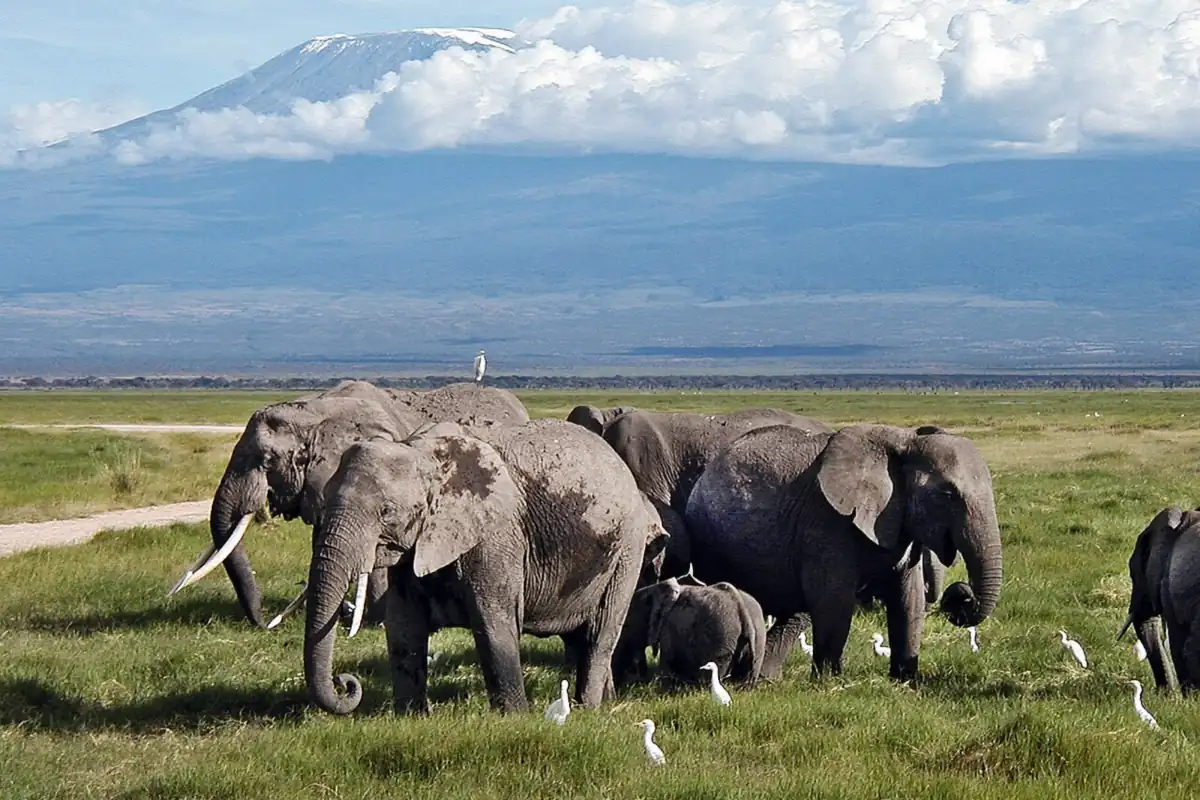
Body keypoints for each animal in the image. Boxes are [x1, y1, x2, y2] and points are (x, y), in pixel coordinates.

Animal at [303, 418, 665, 715]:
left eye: (386, 511)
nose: (345, 682)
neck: (423, 453)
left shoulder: (497, 537)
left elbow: (493, 624)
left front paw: (515, 719)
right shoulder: (415, 548)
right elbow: (404, 628)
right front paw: (411, 718)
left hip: (627, 550)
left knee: (599, 634)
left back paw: (587, 709)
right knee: (579, 638)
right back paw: (605, 703)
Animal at [612, 576, 766, 687]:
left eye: (626, 625)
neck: (654, 589)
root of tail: (741, 607)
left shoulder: (668, 628)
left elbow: (667, 662)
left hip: (721, 638)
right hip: (757, 637)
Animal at [685, 423, 1003, 682]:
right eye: (947, 494)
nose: (961, 595)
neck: (904, 442)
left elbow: (908, 598)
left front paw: (905, 679)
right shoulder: (826, 522)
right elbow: (834, 599)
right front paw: (829, 681)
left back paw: (763, 679)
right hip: (710, 539)